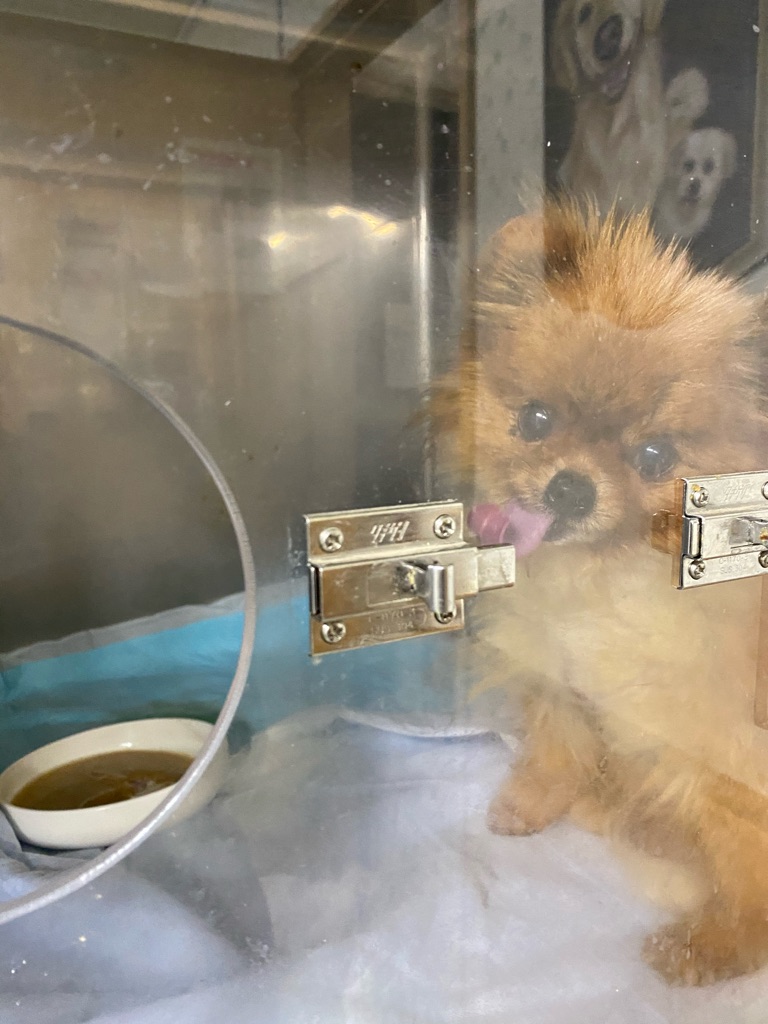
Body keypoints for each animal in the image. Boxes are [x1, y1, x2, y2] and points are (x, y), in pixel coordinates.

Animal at [432, 200, 768, 985]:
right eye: (535, 420)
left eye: (654, 455)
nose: (570, 487)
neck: (601, 582)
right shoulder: (560, 678)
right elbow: (559, 744)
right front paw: (534, 801)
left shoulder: (718, 749)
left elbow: (748, 875)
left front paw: (716, 945)